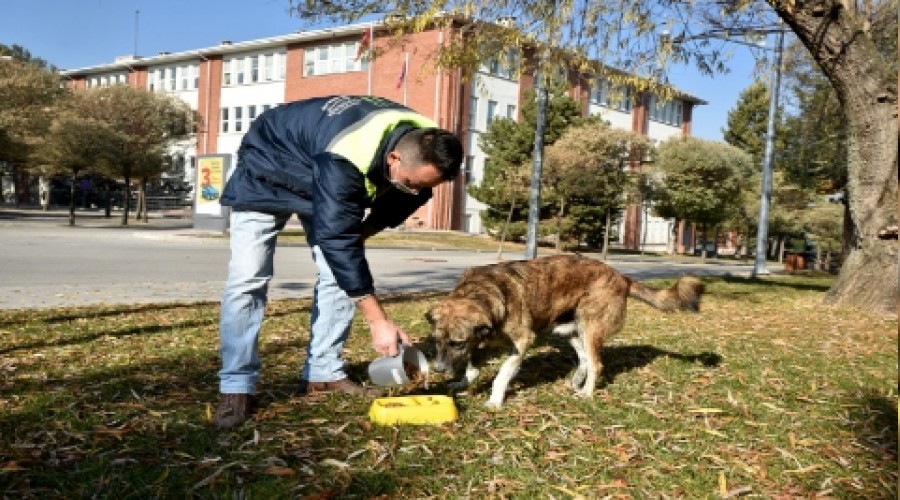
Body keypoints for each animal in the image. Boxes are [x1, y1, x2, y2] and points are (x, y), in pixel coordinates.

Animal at [426, 254, 708, 406]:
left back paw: (586, 392)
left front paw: (495, 400)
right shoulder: (480, 345)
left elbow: (502, 375)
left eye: (457, 343)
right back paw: (575, 380)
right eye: (436, 341)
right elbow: (472, 369)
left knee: (596, 364)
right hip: (568, 330)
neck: (485, 292)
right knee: (584, 360)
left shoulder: (522, 343)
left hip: (590, 328)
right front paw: (461, 383)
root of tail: (623, 277)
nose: (437, 369)